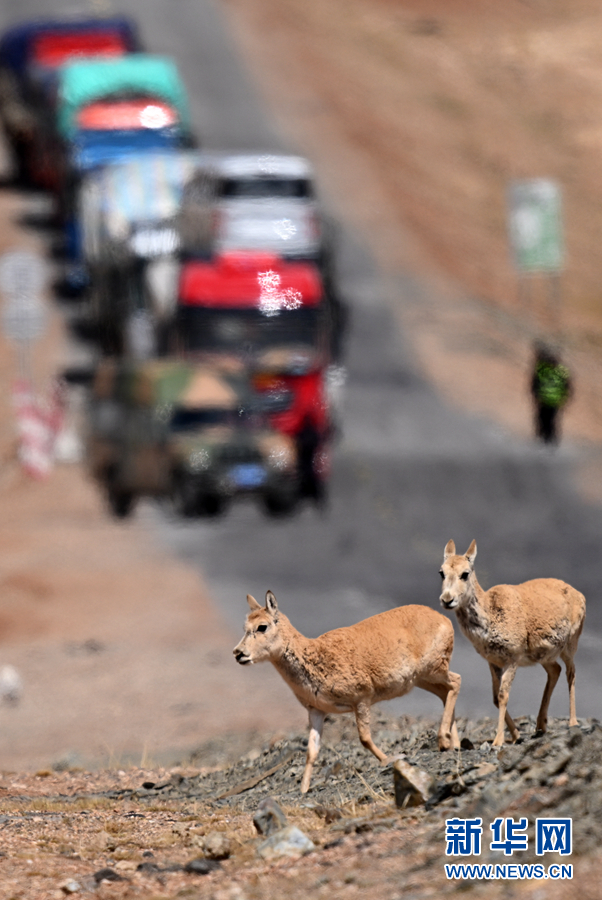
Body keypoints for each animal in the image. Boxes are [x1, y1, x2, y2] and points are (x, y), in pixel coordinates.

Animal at [233, 596, 460, 792]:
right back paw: (453, 744)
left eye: (262, 626)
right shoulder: (316, 711)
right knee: (445, 692)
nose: (238, 653)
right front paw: (303, 789)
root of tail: (444, 619)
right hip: (422, 679)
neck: (316, 656)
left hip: (433, 669)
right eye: (245, 627)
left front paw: (389, 759)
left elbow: (364, 738)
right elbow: (311, 751)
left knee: (456, 681)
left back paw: (443, 740)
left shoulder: (361, 699)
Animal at [438, 540, 584, 744]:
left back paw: (572, 722)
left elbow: (503, 695)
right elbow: (494, 697)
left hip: (569, 646)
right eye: (441, 572)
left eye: (465, 573)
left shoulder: (512, 660)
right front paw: (516, 735)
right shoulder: (493, 662)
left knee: (571, 673)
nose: (447, 599)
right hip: (544, 656)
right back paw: (540, 726)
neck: (491, 612)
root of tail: (578, 593)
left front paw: (498, 741)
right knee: (555, 671)